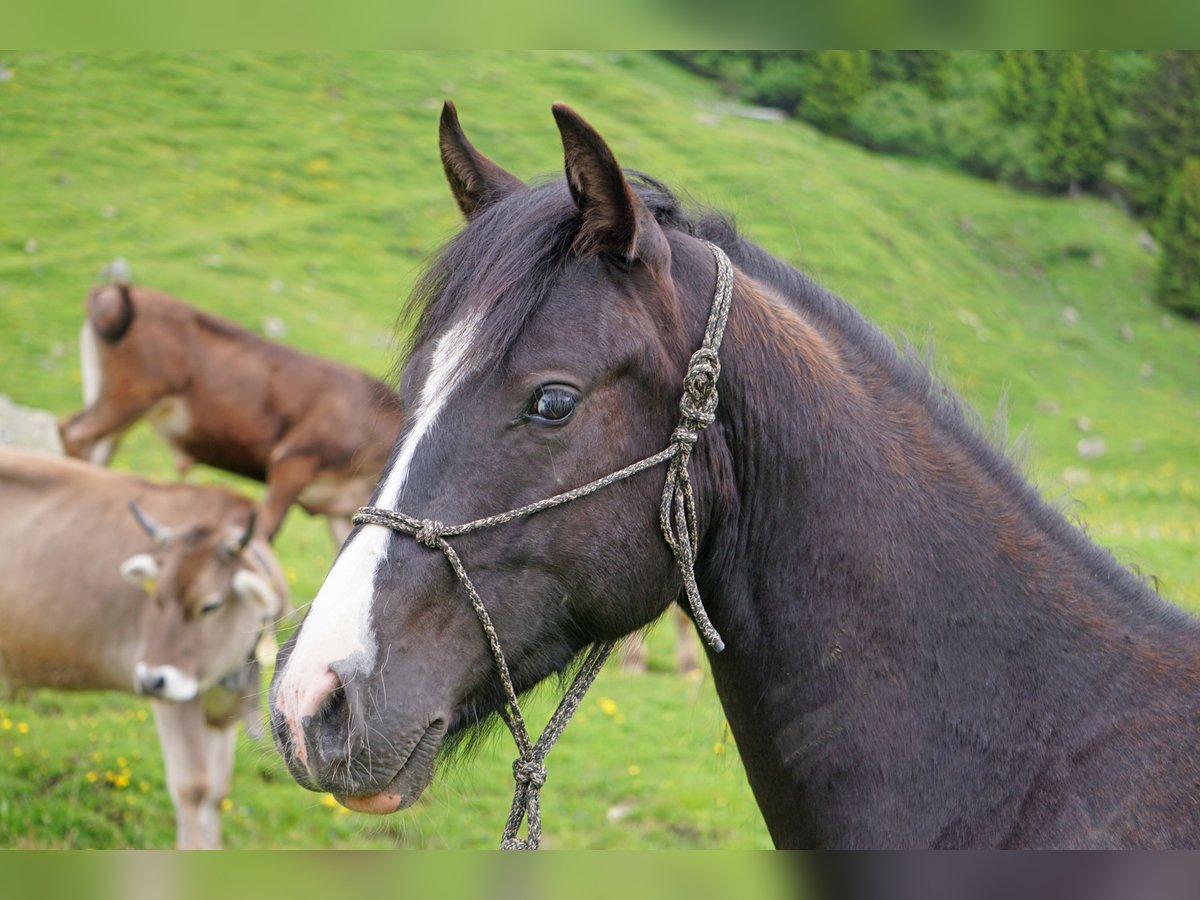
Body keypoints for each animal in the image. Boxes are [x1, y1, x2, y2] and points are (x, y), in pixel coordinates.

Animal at [0, 451, 289, 854]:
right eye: (157, 599)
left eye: (210, 605)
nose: (152, 680)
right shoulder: (176, 697)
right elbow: (193, 786)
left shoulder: (222, 710)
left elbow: (217, 791)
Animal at [58, 282, 405, 547]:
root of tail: (114, 289)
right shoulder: (292, 460)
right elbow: (264, 531)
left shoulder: (339, 507)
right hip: (129, 395)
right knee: (75, 432)